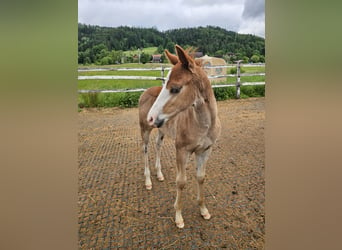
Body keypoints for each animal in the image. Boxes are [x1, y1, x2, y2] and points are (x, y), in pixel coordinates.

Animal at [139, 45, 222, 229]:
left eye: (175, 88)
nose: (151, 117)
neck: (203, 124)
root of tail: (145, 92)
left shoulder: (205, 150)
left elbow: (201, 177)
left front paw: (203, 210)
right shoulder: (181, 150)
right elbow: (181, 182)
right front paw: (178, 217)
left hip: (162, 130)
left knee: (158, 146)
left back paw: (159, 174)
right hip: (145, 130)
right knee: (145, 150)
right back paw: (148, 181)